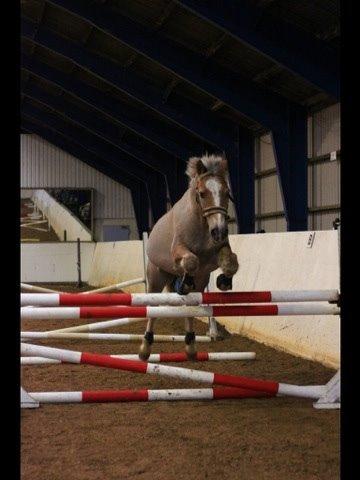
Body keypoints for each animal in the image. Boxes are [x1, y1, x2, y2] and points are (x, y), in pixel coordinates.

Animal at [138, 154, 239, 360]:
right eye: (202, 193)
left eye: (227, 193)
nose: (219, 232)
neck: (202, 224)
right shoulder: (179, 251)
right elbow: (191, 261)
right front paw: (184, 283)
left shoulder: (215, 256)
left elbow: (230, 263)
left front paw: (224, 281)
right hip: (156, 278)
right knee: (153, 308)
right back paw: (145, 347)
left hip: (201, 281)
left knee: (191, 306)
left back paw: (191, 345)